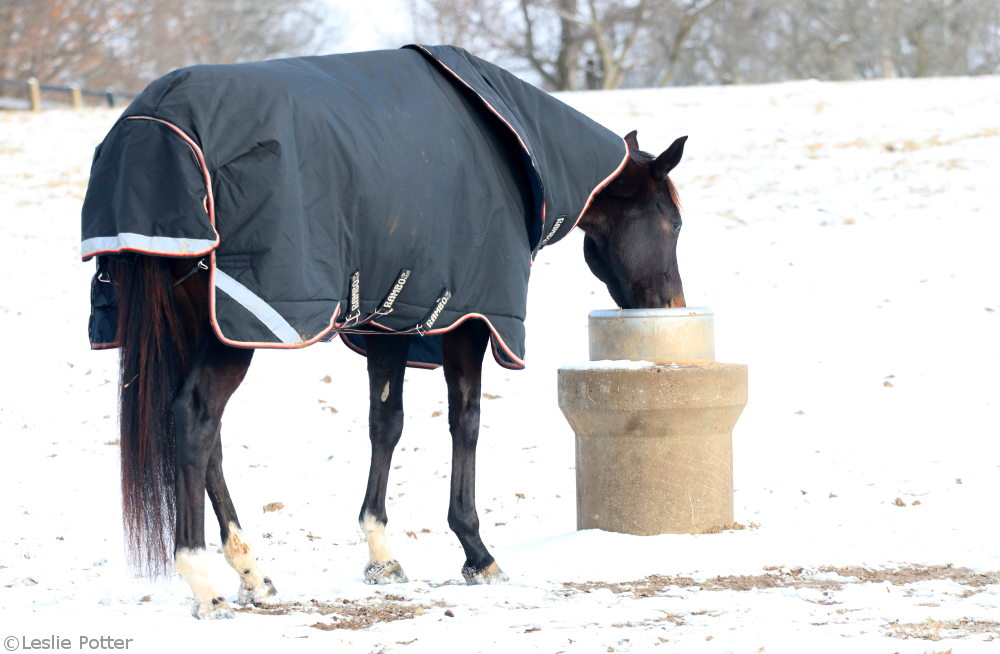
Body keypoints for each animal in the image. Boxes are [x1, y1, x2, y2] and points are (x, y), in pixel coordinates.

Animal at [82, 47, 684, 620]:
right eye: (675, 223)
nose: (672, 306)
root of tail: (150, 129)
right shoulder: (471, 320)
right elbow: (466, 421)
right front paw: (476, 552)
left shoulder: (394, 320)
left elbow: (385, 423)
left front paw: (381, 555)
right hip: (234, 333)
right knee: (195, 419)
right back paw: (204, 585)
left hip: (200, 330)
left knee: (207, 439)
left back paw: (252, 575)